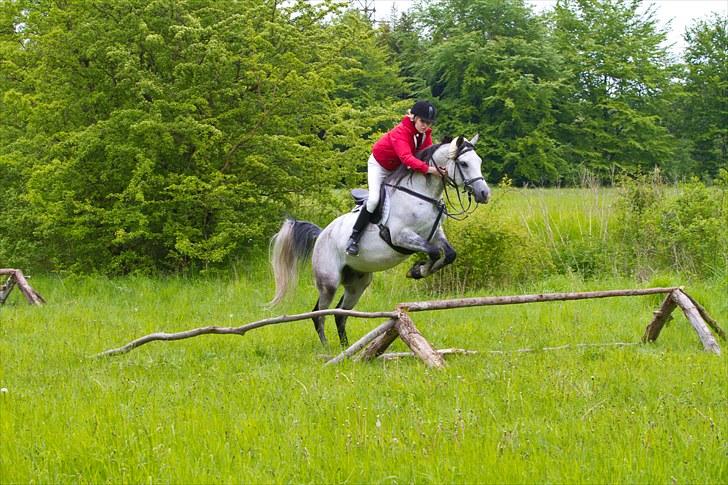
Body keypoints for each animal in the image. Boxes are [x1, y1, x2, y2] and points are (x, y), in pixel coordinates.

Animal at [268, 136, 490, 348]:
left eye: (479, 161)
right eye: (464, 163)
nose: (484, 194)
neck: (423, 196)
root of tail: (322, 234)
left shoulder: (435, 233)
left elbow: (449, 254)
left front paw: (417, 271)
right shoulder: (401, 236)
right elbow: (434, 252)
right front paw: (417, 270)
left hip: (357, 284)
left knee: (340, 313)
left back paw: (346, 348)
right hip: (328, 282)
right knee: (319, 314)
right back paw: (327, 349)